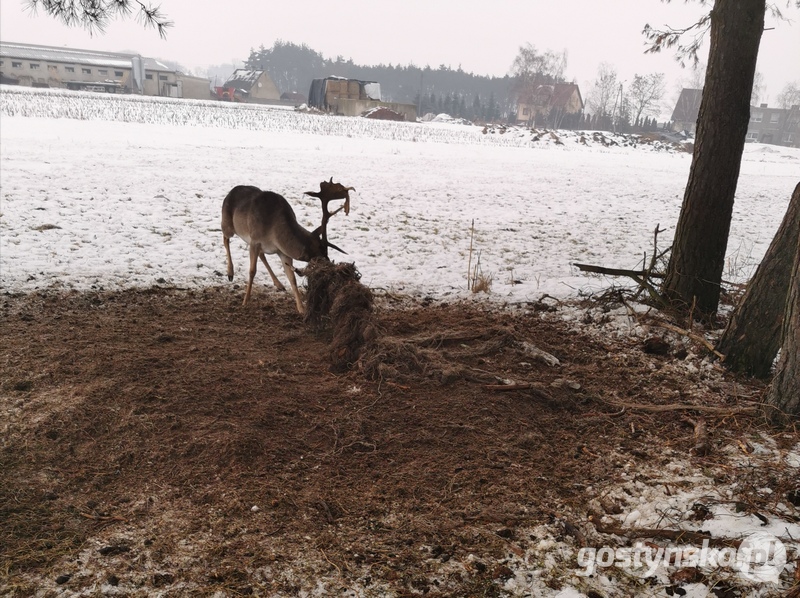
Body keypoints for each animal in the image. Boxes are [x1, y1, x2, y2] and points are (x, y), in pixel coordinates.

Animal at [220, 179, 354, 314]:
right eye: (320, 255)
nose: (329, 263)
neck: (273, 232)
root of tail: (230, 192)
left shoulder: (282, 252)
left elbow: (292, 278)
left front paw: (301, 309)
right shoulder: (255, 241)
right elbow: (252, 271)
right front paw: (245, 301)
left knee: (261, 254)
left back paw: (279, 284)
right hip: (228, 224)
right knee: (225, 238)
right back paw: (230, 273)